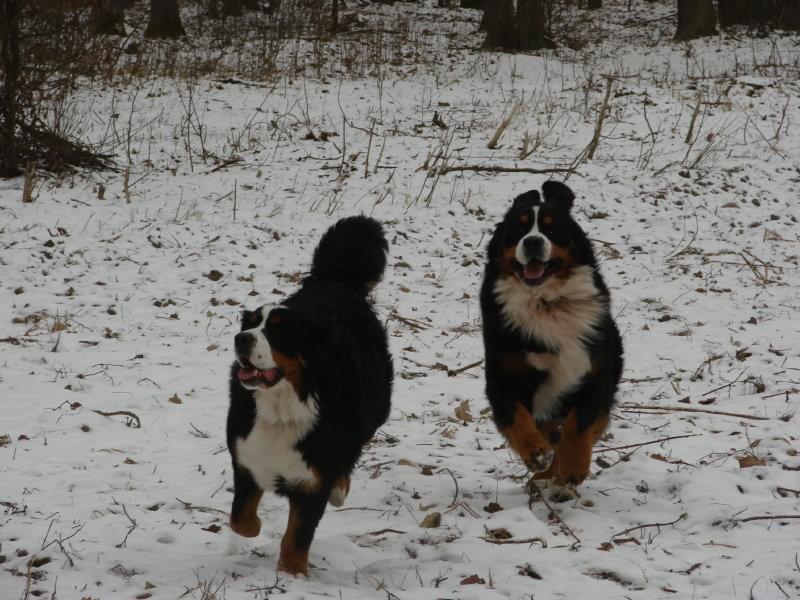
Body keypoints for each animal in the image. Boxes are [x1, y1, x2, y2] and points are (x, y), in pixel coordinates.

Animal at [226, 216, 393, 576]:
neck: (282, 406)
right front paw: (257, 528)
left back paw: (340, 489)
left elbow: (296, 538)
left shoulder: (313, 481)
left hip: (375, 409)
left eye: (277, 330)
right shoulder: (246, 457)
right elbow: (241, 521)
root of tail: (334, 281)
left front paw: (291, 575)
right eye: (251, 324)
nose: (241, 338)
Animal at [480, 181, 623, 497]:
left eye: (552, 230)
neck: (545, 303)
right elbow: (517, 419)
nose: (532, 242)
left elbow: (578, 426)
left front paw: (572, 467)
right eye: (518, 230)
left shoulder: (594, 376)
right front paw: (535, 452)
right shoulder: (503, 378)